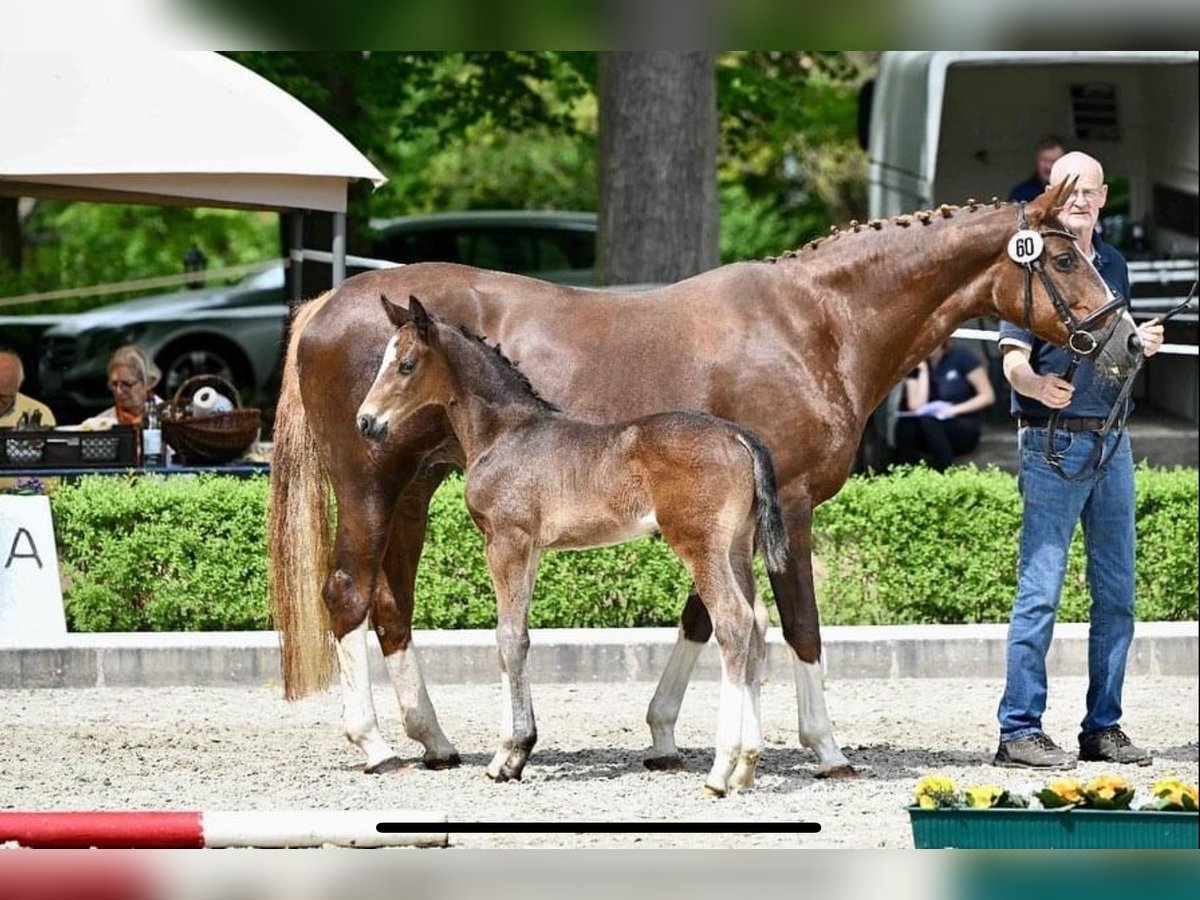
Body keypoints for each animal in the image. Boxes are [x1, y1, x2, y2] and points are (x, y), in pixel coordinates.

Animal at [355, 297, 787, 796]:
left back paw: (720, 771)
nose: (365, 421)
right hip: (737, 547)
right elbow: (518, 638)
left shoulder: (505, 541)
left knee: (734, 621)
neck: (505, 434)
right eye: (383, 361)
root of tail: (738, 435)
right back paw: (747, 767)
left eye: (406, 364)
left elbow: (507, 637)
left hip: (700, 546)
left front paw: (506, 758)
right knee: (757, 620)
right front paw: (517, 753)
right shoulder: (532, 549)